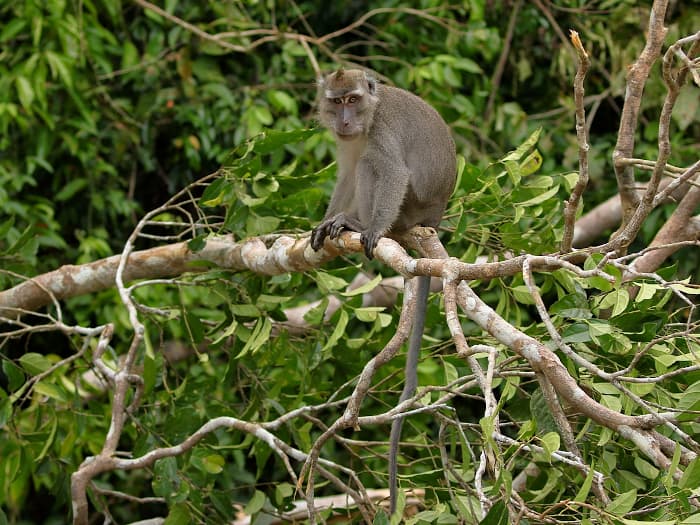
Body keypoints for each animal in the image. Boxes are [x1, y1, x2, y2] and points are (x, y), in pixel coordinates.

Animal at [308, 67, 456, 512]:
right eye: (336, 102)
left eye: (353, 100)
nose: (344, 121)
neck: (368, 118)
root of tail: (433, 219)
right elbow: (344, 174)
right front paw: (327, 221)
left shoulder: (381, 133)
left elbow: (390, 172)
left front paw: (369, 228)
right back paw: (341, 221)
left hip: (411, 209)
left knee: (372, 167)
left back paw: (361, 225)